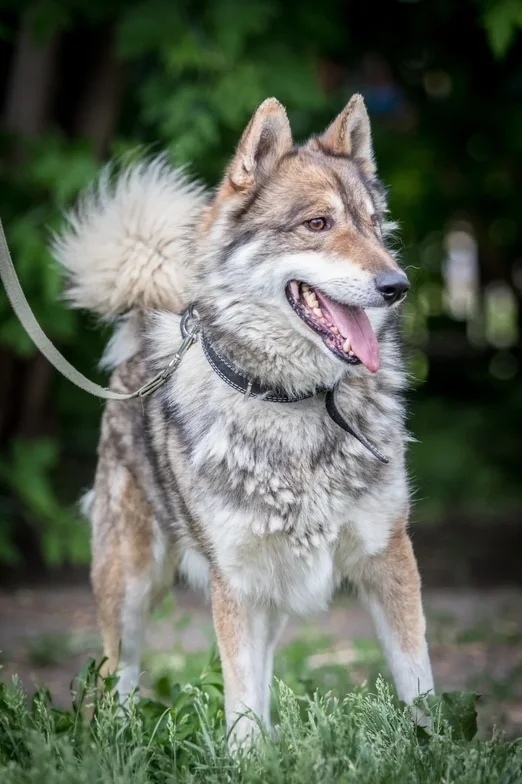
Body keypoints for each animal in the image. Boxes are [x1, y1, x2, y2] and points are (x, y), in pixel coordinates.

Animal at [54, 92, 432, 740]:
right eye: (318, 224)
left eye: (375, 225)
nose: (397, 285)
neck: (295, 403)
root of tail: (148, 320)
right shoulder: (235, 584)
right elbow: (241, 712)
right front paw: (247, 755)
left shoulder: (389, 558)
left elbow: (420, 688)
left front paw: (439, 746)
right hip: (128, 586)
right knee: (115, 676)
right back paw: (118, 737)